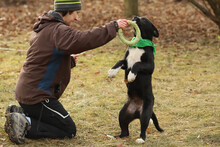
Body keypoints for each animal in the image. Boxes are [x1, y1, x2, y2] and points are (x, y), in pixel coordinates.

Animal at [108, 16, 163, 144]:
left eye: (144, 20)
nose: (135, 17)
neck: (139, 44)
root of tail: (137, 111)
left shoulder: (150, 66)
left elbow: (137, 64)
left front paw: (131, 75)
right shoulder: (126, 62)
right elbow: (120, 61)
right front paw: (112, 71)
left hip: (145, 113)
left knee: (143, 127)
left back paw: (141, 139)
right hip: (123, 114)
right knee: (125, 132)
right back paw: (114, 136)